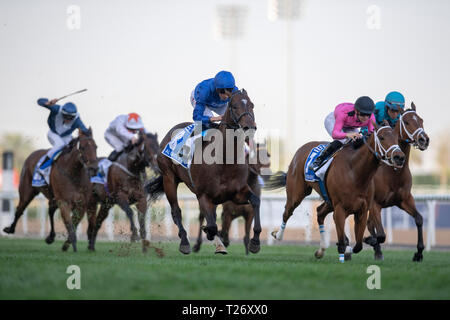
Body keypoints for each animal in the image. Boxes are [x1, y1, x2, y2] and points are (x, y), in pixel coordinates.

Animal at [146, 89, 262, 255]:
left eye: (252, 105)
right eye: (234, 106)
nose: (249, 127)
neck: (224, 160)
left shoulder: (237, 193)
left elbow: (256, 201)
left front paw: (255, 242)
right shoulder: (203, 195)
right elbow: (212, 225)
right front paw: (209, 233)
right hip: (169, 179)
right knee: (176, 211)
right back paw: (185, 242)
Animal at [266, 121, 406, 262]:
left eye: (396, 138)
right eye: (382, 137)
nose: (399, 157)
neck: (355, 172)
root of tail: (300, 150)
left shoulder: (361, 211)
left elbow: (358, 245)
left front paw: (363, 242)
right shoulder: (340, 209)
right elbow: (344, 239)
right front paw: (344, 250)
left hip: (329, 201)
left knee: (319, 213)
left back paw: (321, 250)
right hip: (297, 194)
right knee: (287, 212)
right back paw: (278, 235)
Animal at [362, 104, 428, 262]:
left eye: (421, 120)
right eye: (407, 122)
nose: (424, 140)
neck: (394, 171)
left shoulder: (404, 200)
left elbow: (419, 219)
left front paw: (419, 252)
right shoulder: (375, 204)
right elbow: (381, 234)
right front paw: (369, 240)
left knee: (369, 224)